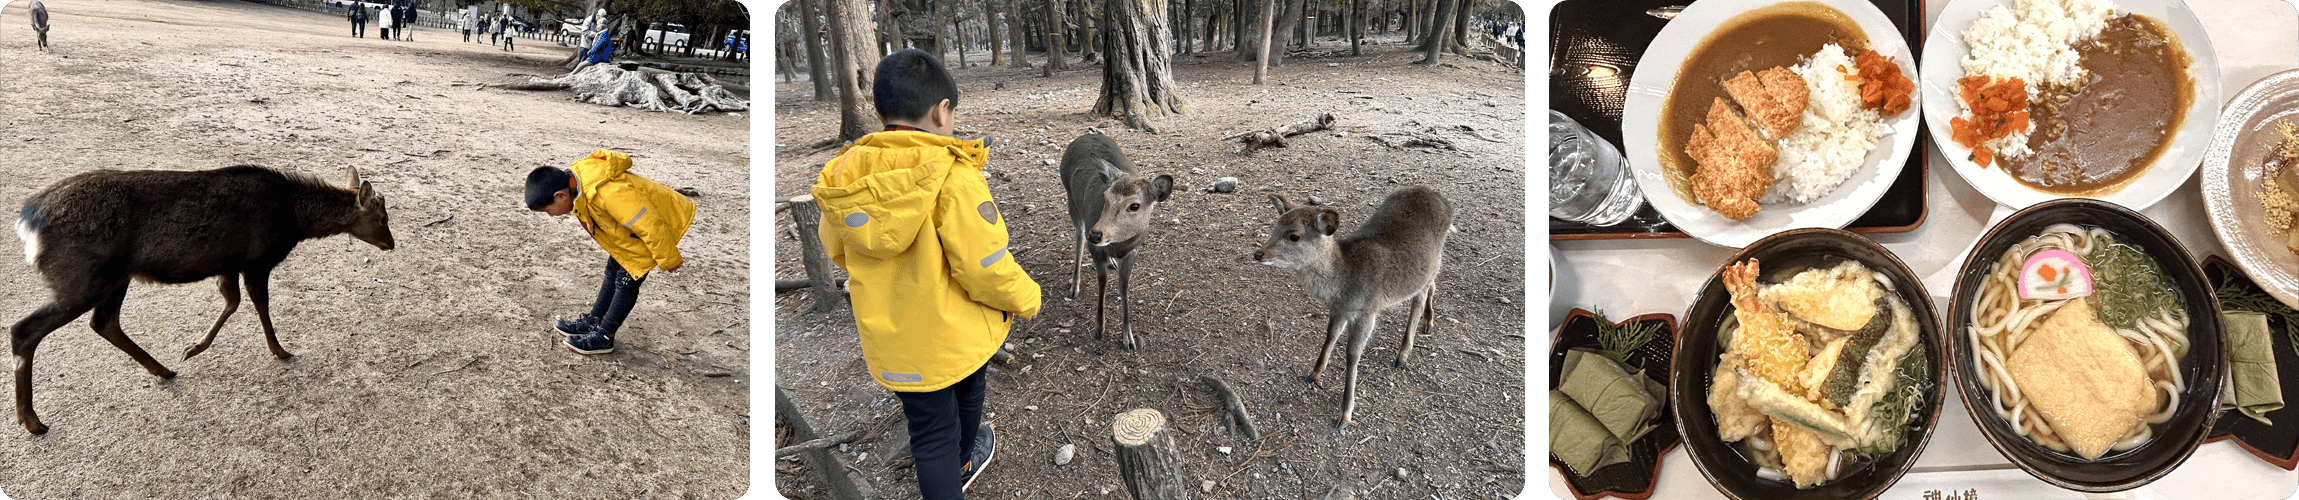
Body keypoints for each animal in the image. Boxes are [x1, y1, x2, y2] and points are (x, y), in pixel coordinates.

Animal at [10, 165, 395, 434]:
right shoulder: (257, 259)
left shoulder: (229, 263)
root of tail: (28, 223)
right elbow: (259, 303)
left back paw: (162, 369)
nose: (391, 243)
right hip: (82, 278)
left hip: (114, 278)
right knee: (24, 329)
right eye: (382, 216)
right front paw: (281, 350)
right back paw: (32, 421)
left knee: (104, 322)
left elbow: (232, 302)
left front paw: (193, 347)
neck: (293, 221)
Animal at [1059, 133, 1173, 351]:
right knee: (1078, 236)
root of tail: (1084, 135)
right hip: (1071, 200)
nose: (1096, 235)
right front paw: (1099, 329)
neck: (1118, 244)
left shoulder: (1133, 251)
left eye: (1135, 205)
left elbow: (1124, 286)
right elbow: (1102, 281)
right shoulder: (1096, 249)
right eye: (1104, 197)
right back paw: (1075, 285)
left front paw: (1129, 338)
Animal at [1253, 186, 1452, 433]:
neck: (1343, 281)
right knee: (1432, 282)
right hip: (1431, 263)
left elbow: (1352, 355)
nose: (1259, 253)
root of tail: (1441, 198)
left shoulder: (1367, 310)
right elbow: (1330, 335)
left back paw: (1403, 354)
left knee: (1421, 294)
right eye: (1274, 227)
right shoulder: (1340, 309)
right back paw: (1428, 322)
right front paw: (1313, 374)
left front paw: (1345, 414)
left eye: (1294, 236)